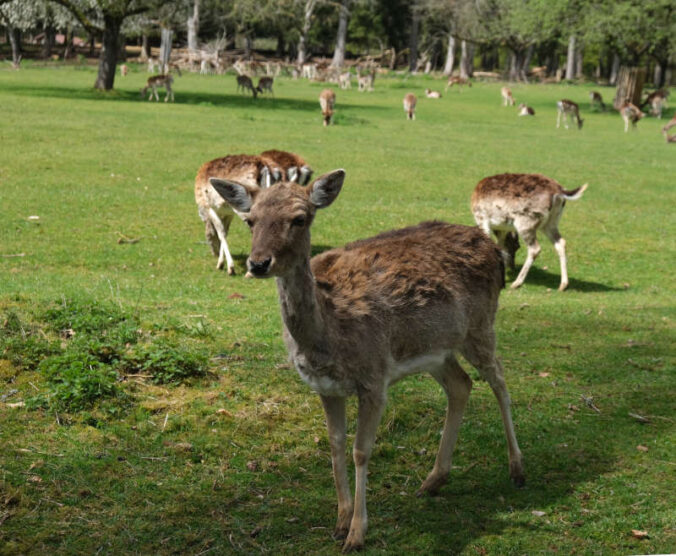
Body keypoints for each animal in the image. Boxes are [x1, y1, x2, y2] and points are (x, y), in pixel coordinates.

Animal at [209, 170, 524, 552]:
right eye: (250, 220)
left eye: (299, 218)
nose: (257, 263)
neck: (328, 337)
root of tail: (492, 248)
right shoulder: (325, 387)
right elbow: (335, 444)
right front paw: (340, 521)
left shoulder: (374, 378)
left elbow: (361, 450)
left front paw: (357, 534)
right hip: (436, 351)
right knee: (461, 385)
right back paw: (433, 480)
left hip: (480, 326)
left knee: (500, 381)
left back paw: (517, 470)